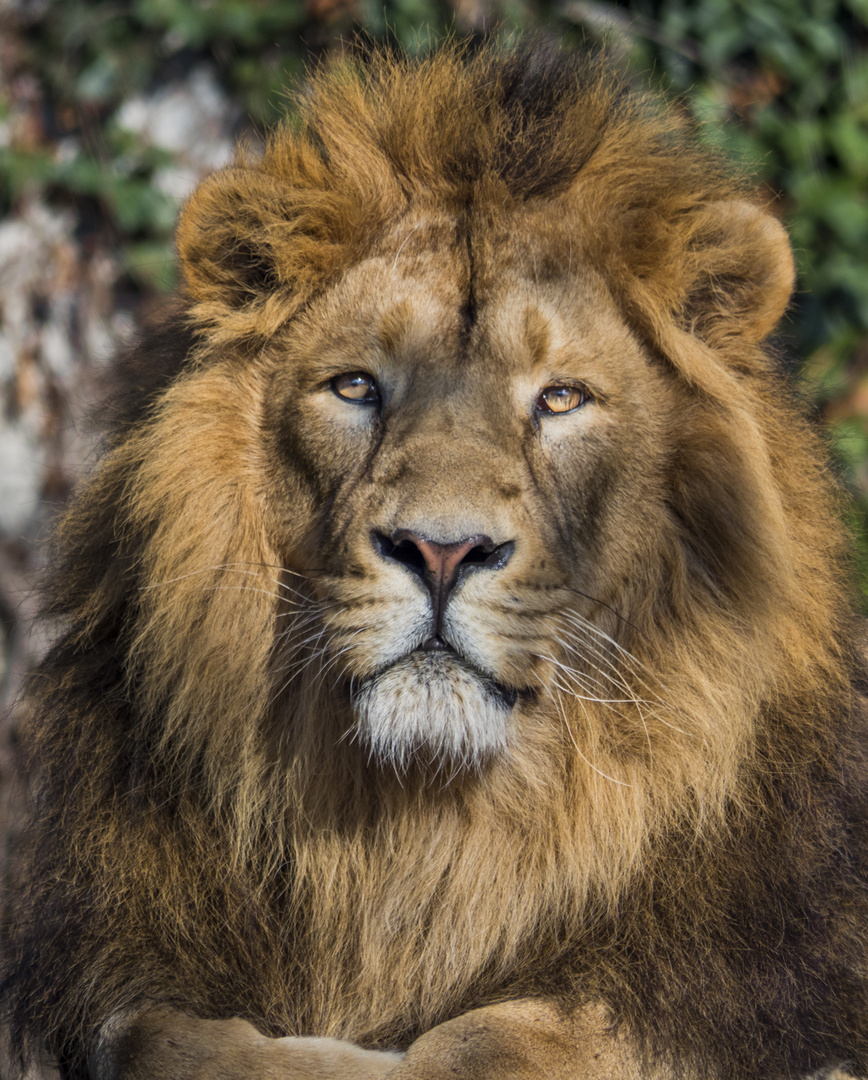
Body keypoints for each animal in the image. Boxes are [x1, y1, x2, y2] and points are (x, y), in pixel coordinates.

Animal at [4, 41, 868, 1080]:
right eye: (355, 387)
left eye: (562, 398)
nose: (442, 550)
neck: (423, 836)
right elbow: (161, 1031)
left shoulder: (723, 1002)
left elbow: (492, 1039)